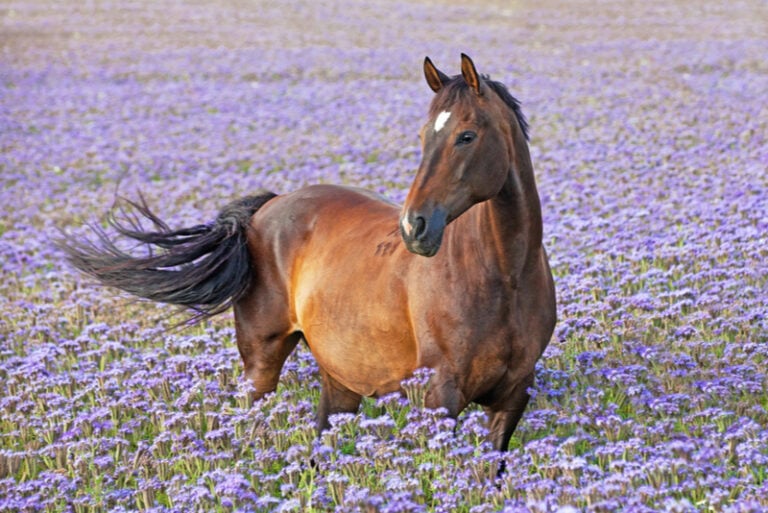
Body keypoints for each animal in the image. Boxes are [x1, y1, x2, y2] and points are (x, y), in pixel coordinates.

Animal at [60, 54, 556, 453]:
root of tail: (270, 205)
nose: (414, 226)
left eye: (466, 136)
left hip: (340, 377)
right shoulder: (439, 397)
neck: (504, 274)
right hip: (261, 362)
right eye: (422, 136)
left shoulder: (511, 399)